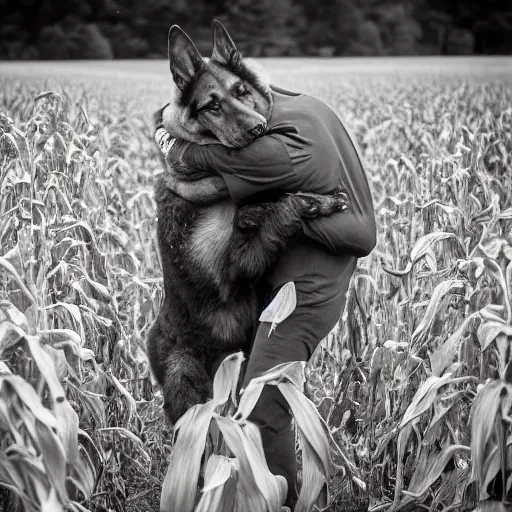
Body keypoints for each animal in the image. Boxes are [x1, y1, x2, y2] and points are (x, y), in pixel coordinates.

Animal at [148, 22, 348, 424]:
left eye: (241, 92)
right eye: (212, 105)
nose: (259, 130)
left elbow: (263, 211)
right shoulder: (233, 273)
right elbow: (281, 208)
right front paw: (318, 201)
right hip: (188, 385)